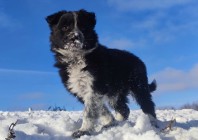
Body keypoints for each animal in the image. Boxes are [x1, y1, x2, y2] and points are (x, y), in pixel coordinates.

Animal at [45, 9, 157, 138]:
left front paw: (83, 130)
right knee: (124, 109)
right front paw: (109, 122)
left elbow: (89, 111)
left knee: (147, 104)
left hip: (138, 86)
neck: (76, 57)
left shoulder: (95, 86)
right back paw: (118, 123)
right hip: (116, 93)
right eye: (65, 27)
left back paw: (153, 123)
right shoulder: (81, 89)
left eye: (83, 27)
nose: (75, 37)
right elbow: (100, 108)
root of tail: (138, 60)